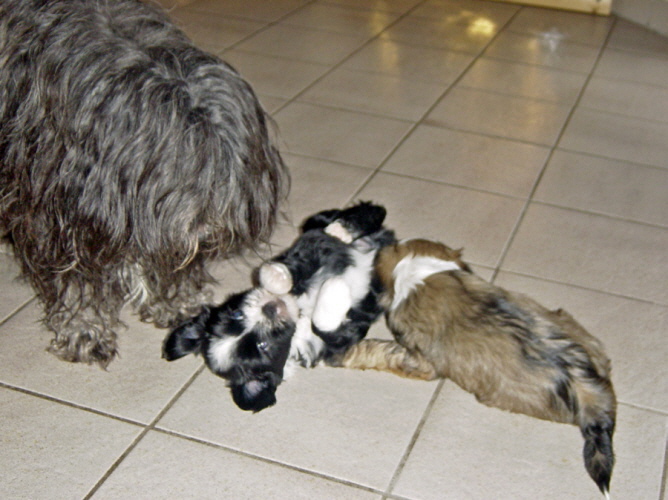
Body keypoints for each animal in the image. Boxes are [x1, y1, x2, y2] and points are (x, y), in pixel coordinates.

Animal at [0, 0, 288, 367]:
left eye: (229, 171)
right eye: (180, 167)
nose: (208, 230)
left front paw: (173, 301)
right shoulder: (58, 208)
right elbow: (76, 276)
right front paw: (85, 329)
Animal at [163, 202, 395, 411]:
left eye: (236, 314)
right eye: (263, 345)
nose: (270, 309)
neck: (301, 310)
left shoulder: (307, 248)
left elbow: (289, 263)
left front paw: (277, 275)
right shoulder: (343, 336)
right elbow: (326, 328)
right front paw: (335, 289)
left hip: (320, 222)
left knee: (367, 212)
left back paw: (343, 230)